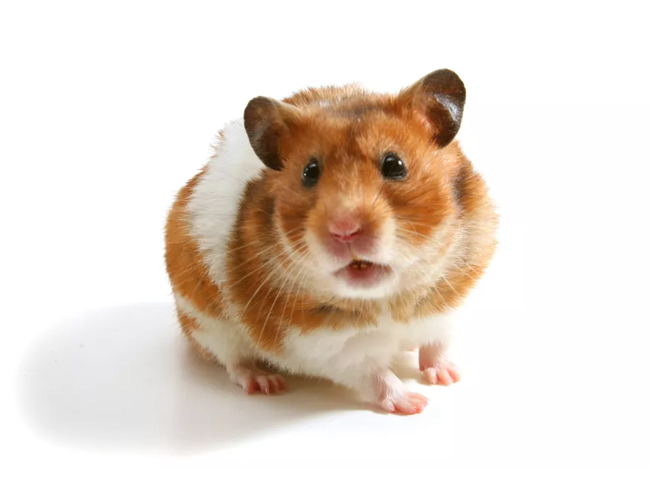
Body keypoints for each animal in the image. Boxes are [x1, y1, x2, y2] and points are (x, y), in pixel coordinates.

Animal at [165, 69, 497, 414]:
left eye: (394, 165)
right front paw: (416, 404)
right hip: (206, 322)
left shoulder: (447, 308)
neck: (387, 298)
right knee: (234, 362)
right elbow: (377, 375)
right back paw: (266, 382)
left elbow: (437, 346)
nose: (344, 230)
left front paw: (450, 378)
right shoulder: (328, 346)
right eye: (309, 172)